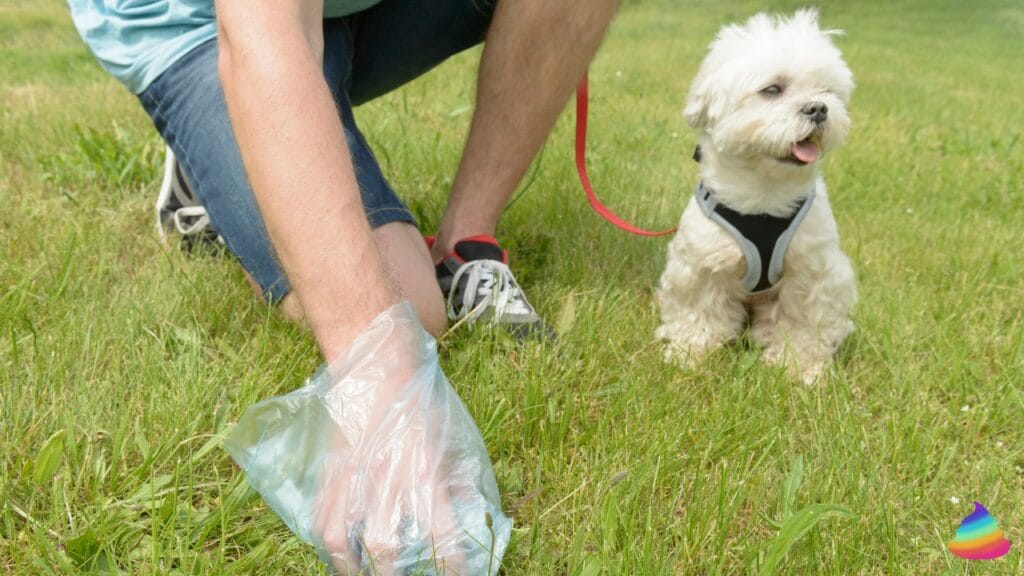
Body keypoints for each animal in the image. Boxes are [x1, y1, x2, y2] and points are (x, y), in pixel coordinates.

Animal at [655, 7, 856, 381]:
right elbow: (698, 311)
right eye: (772, 89)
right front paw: (690, 352)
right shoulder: (701, 261)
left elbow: (805, 322)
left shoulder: (813, 271)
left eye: (827, 91)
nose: (819, 108)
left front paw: (799, 367)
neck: (764, 195)